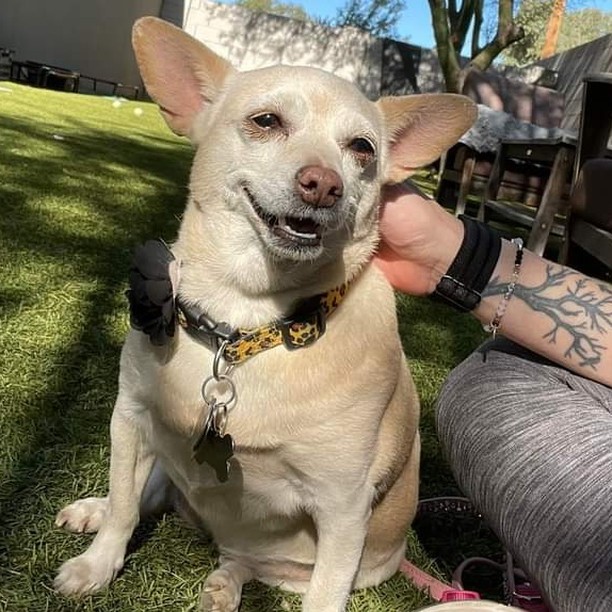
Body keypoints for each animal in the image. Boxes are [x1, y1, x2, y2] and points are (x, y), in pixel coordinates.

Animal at [52, 17, 476, 612]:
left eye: (363, 149)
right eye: (266, 121)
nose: (324, 183)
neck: (246, 319)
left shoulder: (343, 509)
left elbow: (325, 596)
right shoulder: (131, 419)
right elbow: (124, 504)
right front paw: (97, 564)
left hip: (297, 559)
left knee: (245, 561)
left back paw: (224, 583)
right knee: (148, 494)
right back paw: (95, 511)